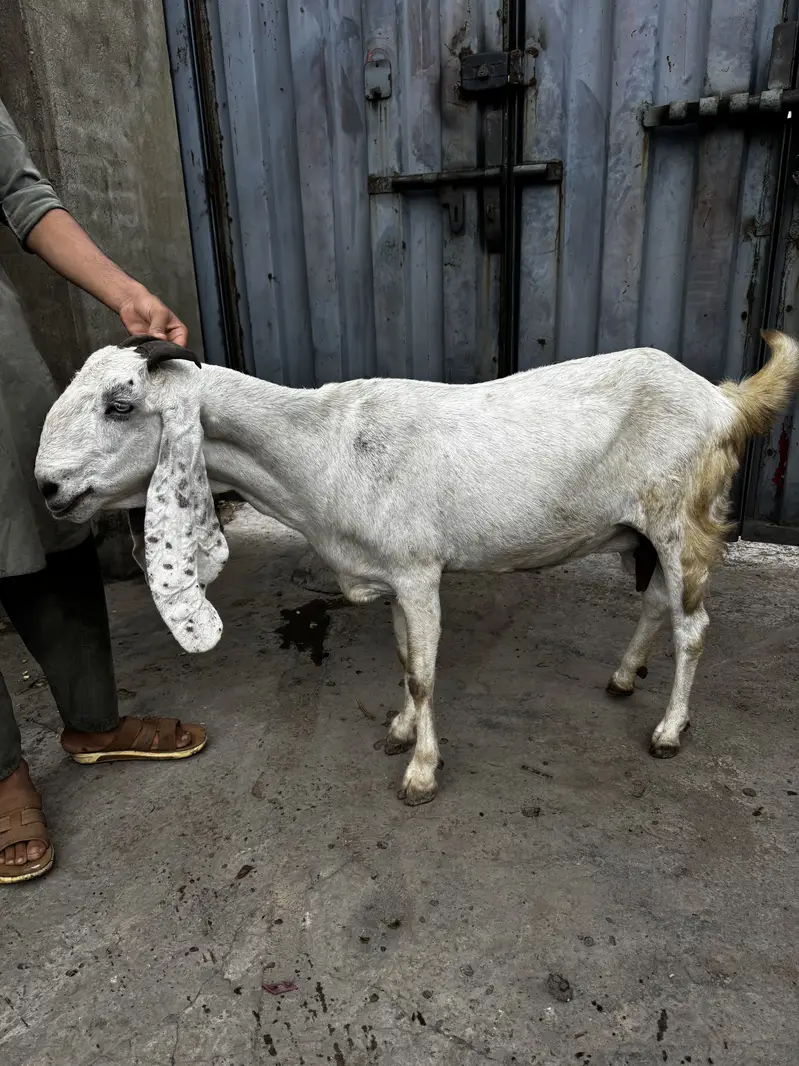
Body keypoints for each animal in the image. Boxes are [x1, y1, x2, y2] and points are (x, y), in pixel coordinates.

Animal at [35, 331, 799, 805]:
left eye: (120, 404)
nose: (46, 487)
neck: (323, 447)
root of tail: (724, 399)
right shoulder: (391, 577)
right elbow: (405, 662)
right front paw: (401, 730)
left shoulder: (418, 570)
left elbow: (427, 673)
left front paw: (421, 773)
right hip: (643, 527)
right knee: (658, 604)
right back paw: (623, 675)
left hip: (679, 518)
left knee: (694, 626)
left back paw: (668, 731)